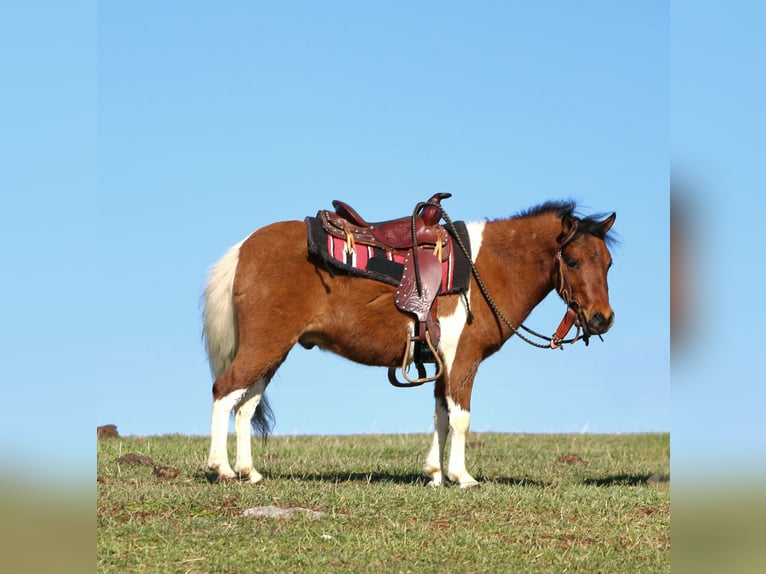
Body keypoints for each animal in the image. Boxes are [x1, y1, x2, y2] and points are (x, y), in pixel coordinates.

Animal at [202, 198, 616, 487]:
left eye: (608, 262)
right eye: (574, 261)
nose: (602, 318)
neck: (485, 268)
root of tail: (244, 248)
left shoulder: (441, 364)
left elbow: (441, 417)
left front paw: (435, 474)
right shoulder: (463, 360)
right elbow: (461, 418)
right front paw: (462, 477)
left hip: (272, 353)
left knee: (245, 406)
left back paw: (249, 471)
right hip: (264, 346)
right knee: (224, 392)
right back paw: (222, 468)